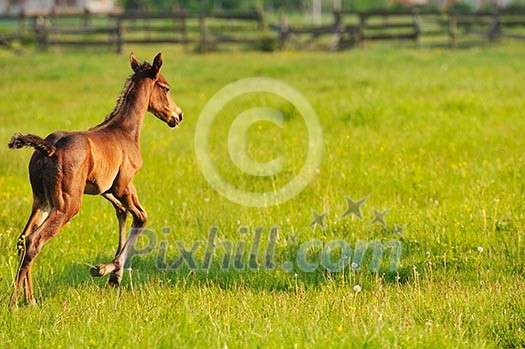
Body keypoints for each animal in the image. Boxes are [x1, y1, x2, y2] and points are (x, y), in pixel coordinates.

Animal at [6, 52, 184, 308]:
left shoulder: (106, 189)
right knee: (33, 241)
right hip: (67, 204)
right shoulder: (124, 185)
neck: (125, 131)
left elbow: (122, 213)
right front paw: (106, 271)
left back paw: (29, 299)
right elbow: (141, 217)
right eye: (166, 88)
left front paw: (113, 275)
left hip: (41, 201)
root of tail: (49, 148)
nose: (178, 116)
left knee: (23, 239)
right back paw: (14, 303)